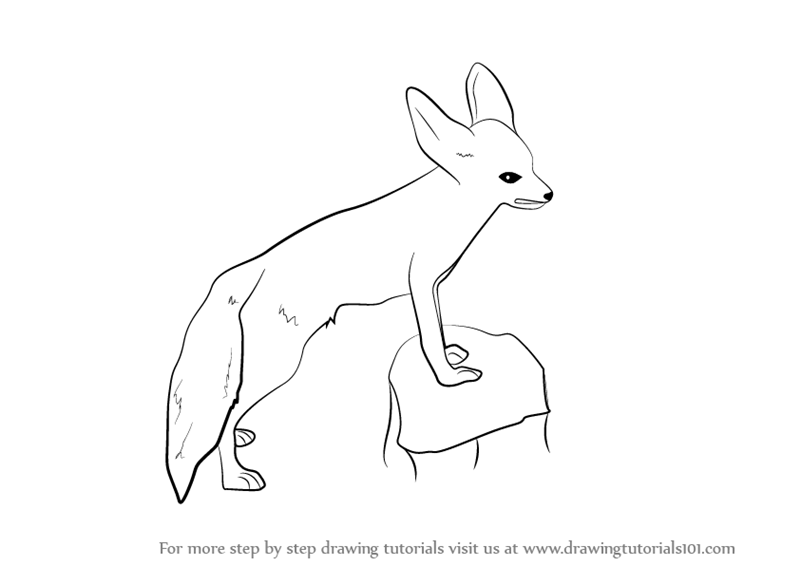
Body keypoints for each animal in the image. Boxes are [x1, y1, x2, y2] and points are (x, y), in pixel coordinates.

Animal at [166, 63, 553, 503]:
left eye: (532, 164)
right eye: (510, 177)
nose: (549, 194)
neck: (449, 211)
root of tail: (250, 269)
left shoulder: (434, 286)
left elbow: (435, 334)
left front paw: (452, 356)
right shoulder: (420, 283)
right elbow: (429, 339)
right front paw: (449, 378)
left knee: (231, 416)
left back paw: (241, 440)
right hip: (279, 364)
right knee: (227, 415)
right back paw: (235, 477)